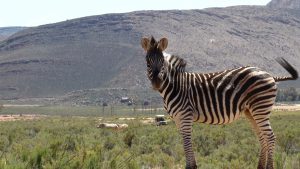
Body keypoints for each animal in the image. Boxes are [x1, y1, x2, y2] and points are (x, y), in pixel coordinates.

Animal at [140, 36, 298, 168]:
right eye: (147, 62)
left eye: (162, 61)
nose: (157, 83)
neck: (175, 85)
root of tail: (269, 74)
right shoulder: (178, 118)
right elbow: (185, 141)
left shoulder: (185, 115)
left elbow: (187, 141)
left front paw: (191, 166)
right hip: (251, 111)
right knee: (262, 136)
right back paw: (259, 166)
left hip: (260, 108)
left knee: (270, 137)